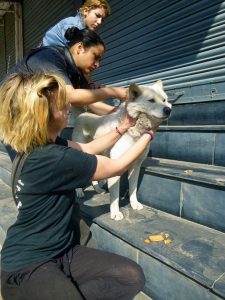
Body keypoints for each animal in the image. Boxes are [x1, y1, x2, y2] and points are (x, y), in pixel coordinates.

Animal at [71, 79, 171, 220]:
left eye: (164, 100)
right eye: (151, 100)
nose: (168, 110)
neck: (134, 129)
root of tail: (82, 114)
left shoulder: (135, 166)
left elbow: (133, 188)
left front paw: (134, 204)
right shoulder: (116, 165)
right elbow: (115, 195)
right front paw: (115, 213)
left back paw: (98, 190)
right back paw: (79, 192)